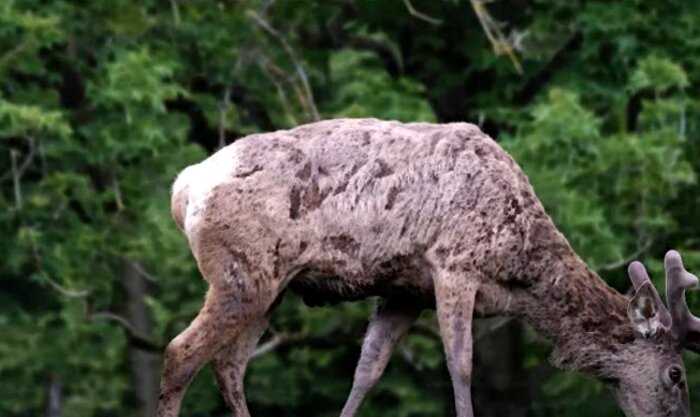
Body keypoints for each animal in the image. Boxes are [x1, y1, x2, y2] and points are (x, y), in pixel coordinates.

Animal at [160, 117, 700, 416]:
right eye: (676, 374)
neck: (518, 271)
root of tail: (183, 188)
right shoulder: (454, 264)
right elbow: (460, 366)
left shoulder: (404, 291)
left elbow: (367, 372)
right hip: (242, 273)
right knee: (179, 353)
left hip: (273, 284)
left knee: (228, 366)